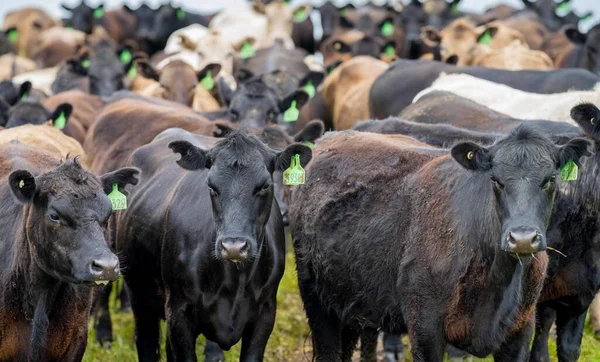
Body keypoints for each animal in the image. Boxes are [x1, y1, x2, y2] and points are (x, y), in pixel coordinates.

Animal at [116, 129, 312, 360]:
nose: (234, 247)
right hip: (139, 295)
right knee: (146, 342)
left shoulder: (265, 311)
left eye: (264, 186)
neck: (235, 281)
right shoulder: (179, 311)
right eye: (211, 186)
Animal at [290, 123, 592, 360]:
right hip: (316, 299)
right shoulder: (425, 327)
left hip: (351, 306)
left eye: (550, 179)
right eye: (495, 179)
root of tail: (333, 135)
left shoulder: (520, 330)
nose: (523, 238)